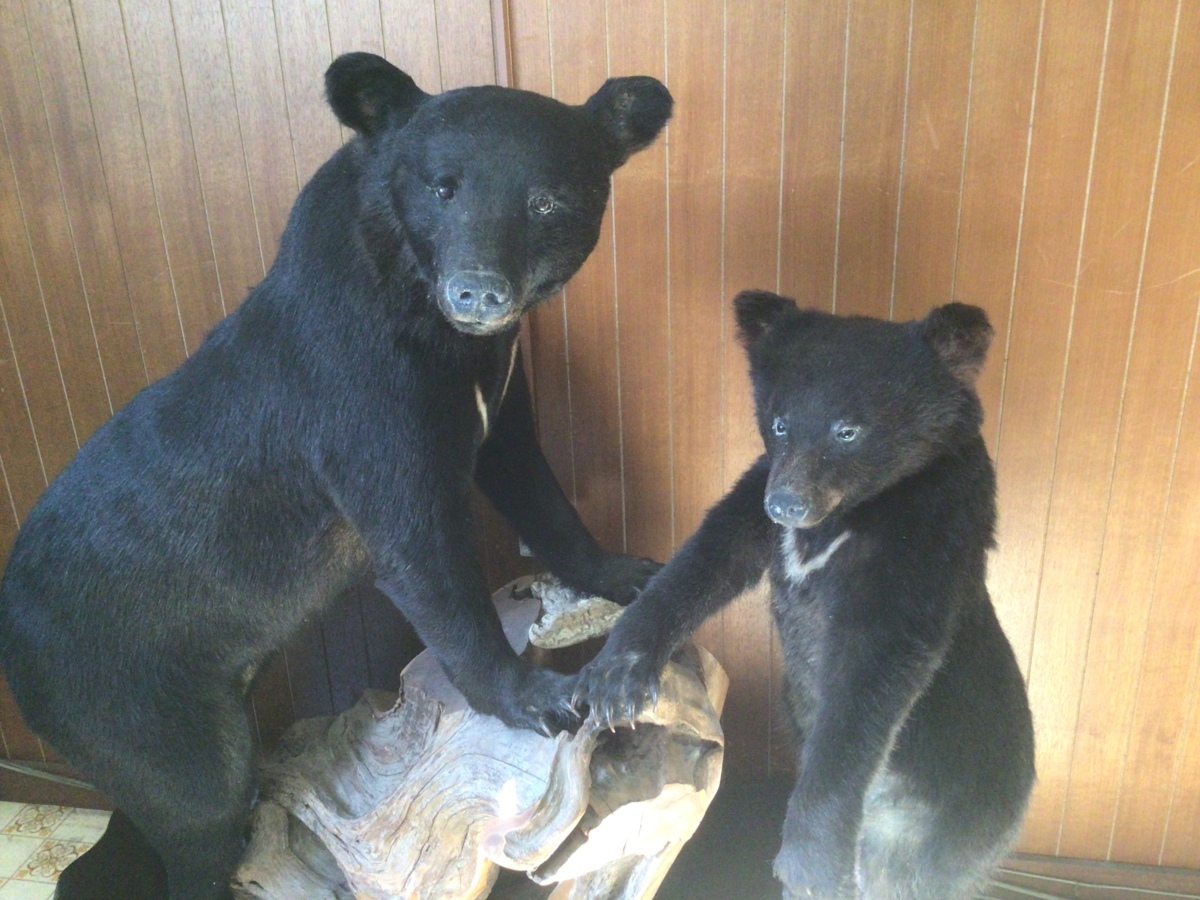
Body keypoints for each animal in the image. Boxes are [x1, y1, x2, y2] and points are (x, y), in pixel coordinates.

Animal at [0, 52, 670, 900]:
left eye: (548, 199)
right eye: (441, 188)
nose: (479, 291)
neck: (438, 329)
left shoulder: (493, 392)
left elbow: (531, 481)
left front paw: (628, 571)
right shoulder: (361, 402)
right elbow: (422, 557)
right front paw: (540, 700)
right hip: (120, 700)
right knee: (195, 809)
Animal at [576, 291, 1036, 899]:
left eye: (848, 431)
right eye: (780, 422)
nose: (788, 504)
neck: (845, 516)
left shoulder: (931, 528)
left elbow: (876, 667)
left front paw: (808, 859)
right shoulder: (759, 493)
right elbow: (708, 557)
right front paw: (614, 679)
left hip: (953, 817)